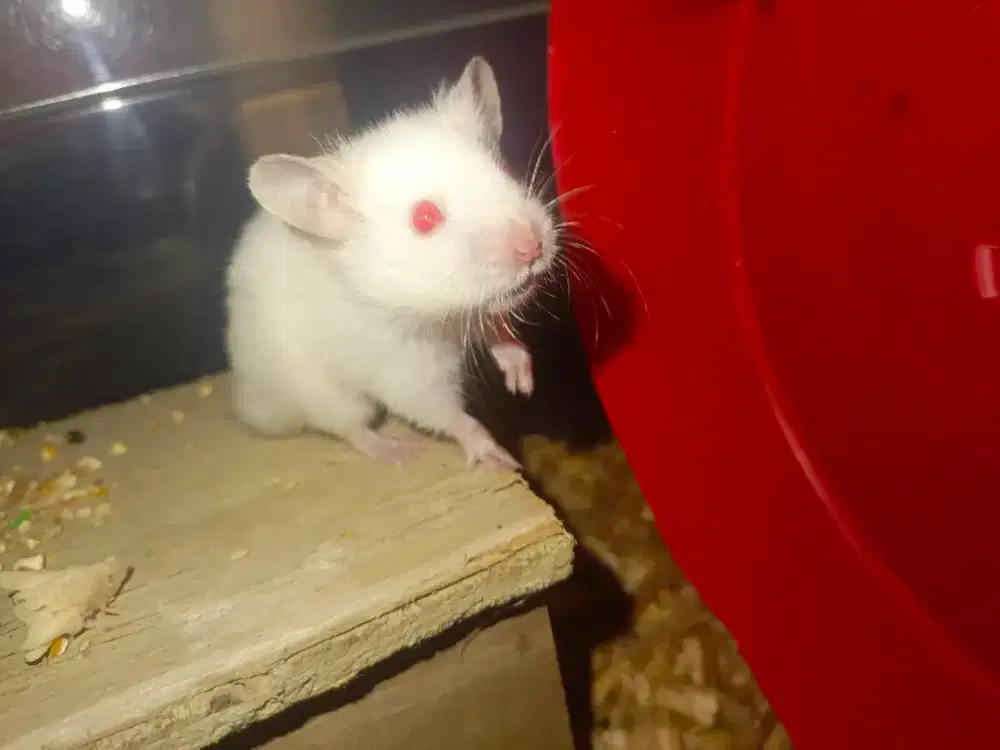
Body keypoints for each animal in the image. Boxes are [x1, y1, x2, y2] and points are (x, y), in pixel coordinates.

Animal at [224, 56, 558, 470]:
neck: (437, 317)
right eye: (425, 218)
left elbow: (498, 330)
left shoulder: (472, 312)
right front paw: (500, 458)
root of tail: (247, 401)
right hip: (326, 395)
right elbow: (450, 416)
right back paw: (398, 452)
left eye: (508, 172)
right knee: (349, 428)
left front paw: (522, 382)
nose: (533, 248)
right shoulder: (405, 373)